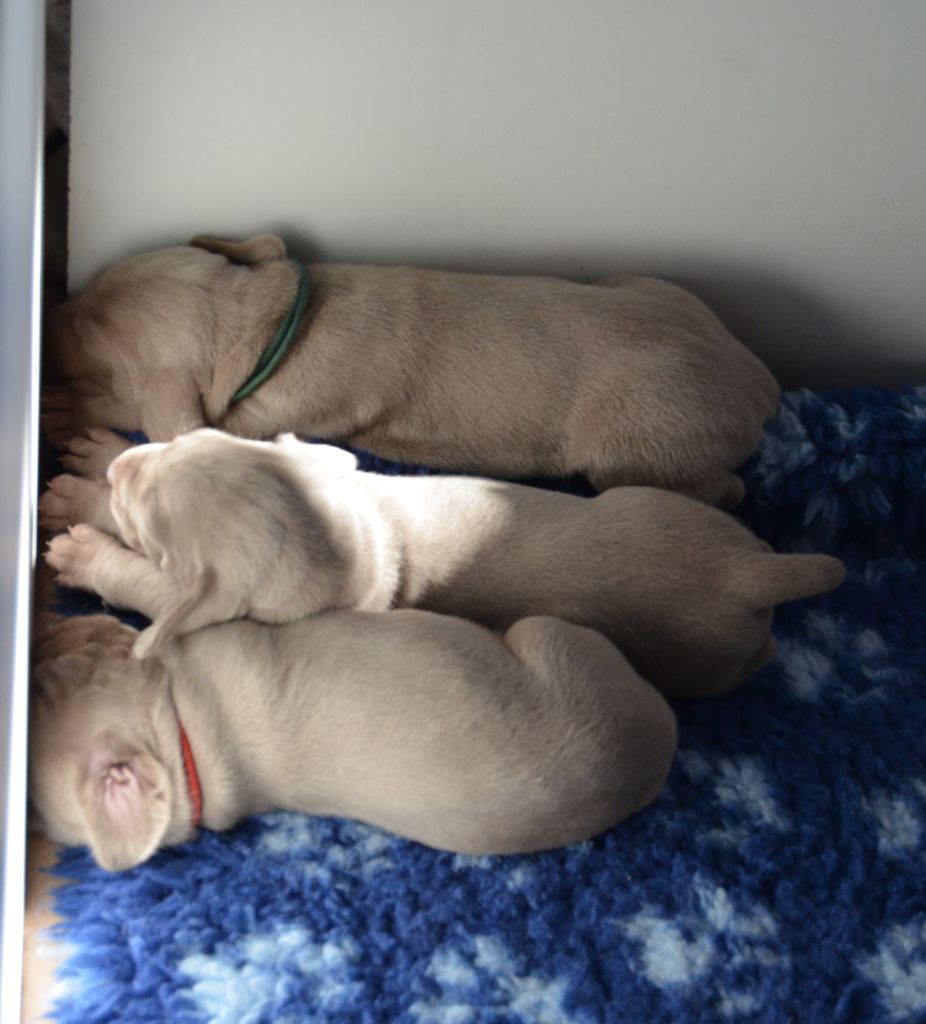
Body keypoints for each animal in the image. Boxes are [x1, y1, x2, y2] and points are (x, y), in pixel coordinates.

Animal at [40, 428, 845, 699]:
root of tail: (751, 574)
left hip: (697, 660)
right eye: (182, 438)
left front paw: (84, 545)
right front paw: (93, 462)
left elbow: (153, 589)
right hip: (654, 503)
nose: (121, 470)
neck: (344, 539)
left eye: (154, 518)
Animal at [43, 233, 779, 505]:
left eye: (88, 331)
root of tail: (761, 383)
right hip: (653, 287)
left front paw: (72, 416)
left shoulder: (252, 416)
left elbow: (158, 424)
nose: (47, 307)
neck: (273, 324)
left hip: (638, 445)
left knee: (722, 487)